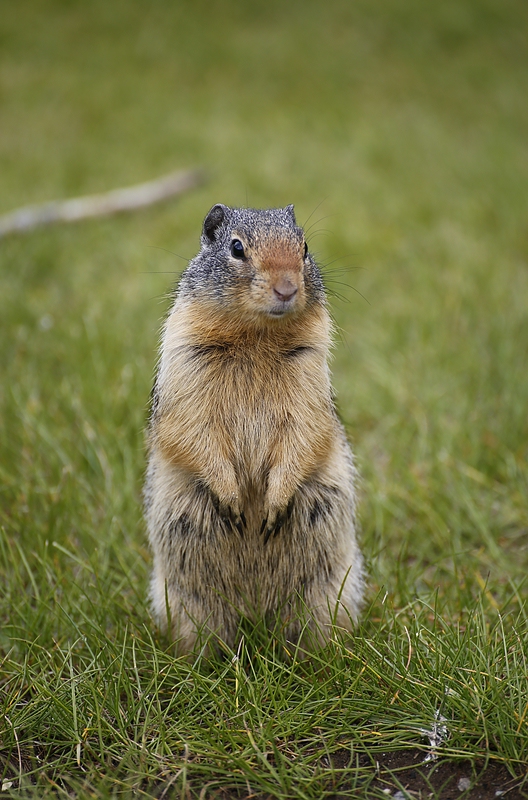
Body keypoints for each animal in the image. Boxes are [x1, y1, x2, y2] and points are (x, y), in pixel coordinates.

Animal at [146, 203, 366, 652]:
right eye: (236, 248)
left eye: (304, 247)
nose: (287, 288)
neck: (256, 335)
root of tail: (255, 618)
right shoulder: (185, 366)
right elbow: (192, 429)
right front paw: (232, 501)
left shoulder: (310, 373)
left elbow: (306, 431)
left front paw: (273, 507)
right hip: (188, 603)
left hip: (327, 595)